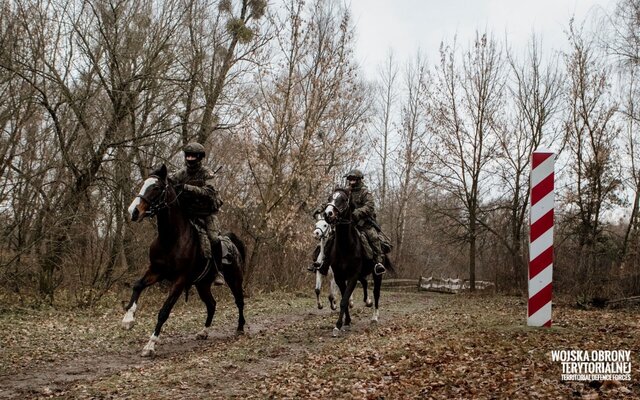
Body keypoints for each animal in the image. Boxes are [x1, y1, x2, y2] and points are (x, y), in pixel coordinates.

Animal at [122, 164, 245, 358]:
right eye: (143, 184)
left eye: (156, 187)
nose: (133, 211)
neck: (170, 238)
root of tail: (231, 242)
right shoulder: (156, 271)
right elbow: (137, 285)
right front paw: (128, 319)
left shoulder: (179, 280)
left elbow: (164, 311)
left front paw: (150, 345)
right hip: (202, 285)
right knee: (211, 304)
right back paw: (204, 332)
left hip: (234, 280)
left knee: (239, 301)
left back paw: (240, 328)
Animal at [322, 186, 392, 336]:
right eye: (330, 198)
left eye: (343, 199)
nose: (328, 214)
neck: (345, 246)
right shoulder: (340, 277)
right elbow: (345, 299)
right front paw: (347, 322)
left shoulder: (353, 276)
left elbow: (344, 300)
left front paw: (338, 325)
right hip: (361, 273)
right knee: (365, 282)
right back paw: (367, 301)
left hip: (377, 274)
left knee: (376, 293)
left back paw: (374, 317)